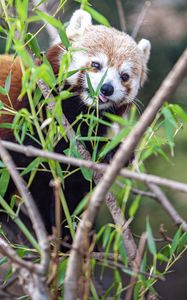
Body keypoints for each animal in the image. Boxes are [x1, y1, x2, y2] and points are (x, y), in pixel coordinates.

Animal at [0, 9, 150, 237]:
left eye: (124, 76)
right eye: (96, 65)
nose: (107, 88)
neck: (78, 111)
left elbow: (73, 184)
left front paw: (112, 152)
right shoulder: (30, 113)